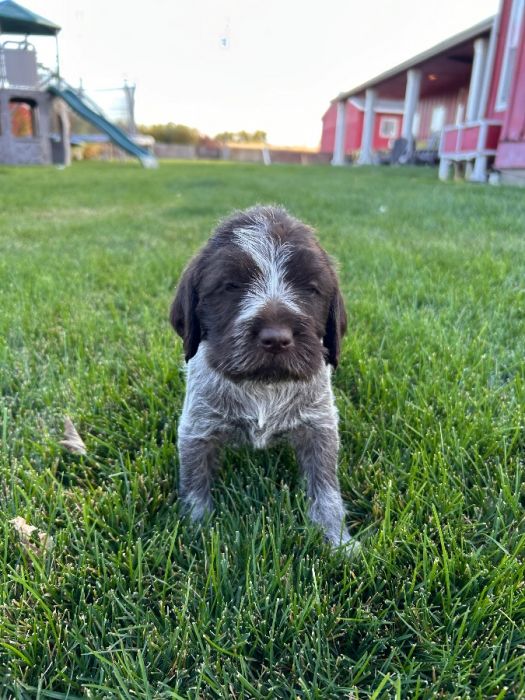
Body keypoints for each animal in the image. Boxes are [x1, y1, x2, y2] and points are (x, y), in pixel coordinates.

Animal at [170, 204, 358, 552]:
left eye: (311, 289)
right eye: (231, 286)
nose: (276, 338)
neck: (263, 386)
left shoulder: (319, 427)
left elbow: (326, 489)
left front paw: (338, 540)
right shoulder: (197, 430)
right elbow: (195, 486)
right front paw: (196, 533)